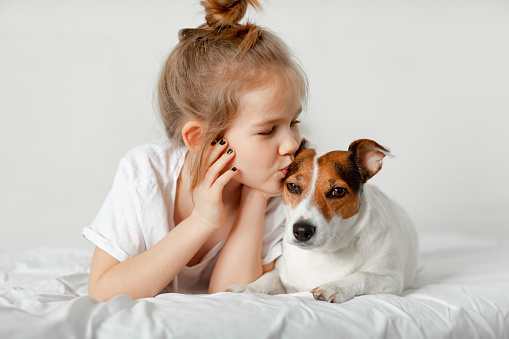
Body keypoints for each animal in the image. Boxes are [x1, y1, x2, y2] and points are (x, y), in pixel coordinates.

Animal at [226, 139, 416, 304]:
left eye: (338, 191)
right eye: (293, 187)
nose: (302, 231)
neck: (323, 252)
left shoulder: (391, 280)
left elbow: (364, 276)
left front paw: (334, 286)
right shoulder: (282, 275)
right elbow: (267, 278)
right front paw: (247, 288)